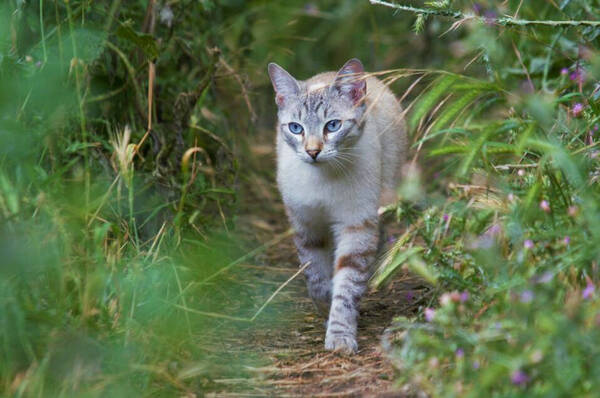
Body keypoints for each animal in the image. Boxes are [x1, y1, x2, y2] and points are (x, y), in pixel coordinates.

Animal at [268, 57, 406, 352]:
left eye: (332, 126)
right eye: (296, 128)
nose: (312, 151)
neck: (323, 178)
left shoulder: (358, 224)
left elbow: (347, 283)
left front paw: (340, 335)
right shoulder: (306, 226)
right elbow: (316, 279)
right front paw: (325, 309)